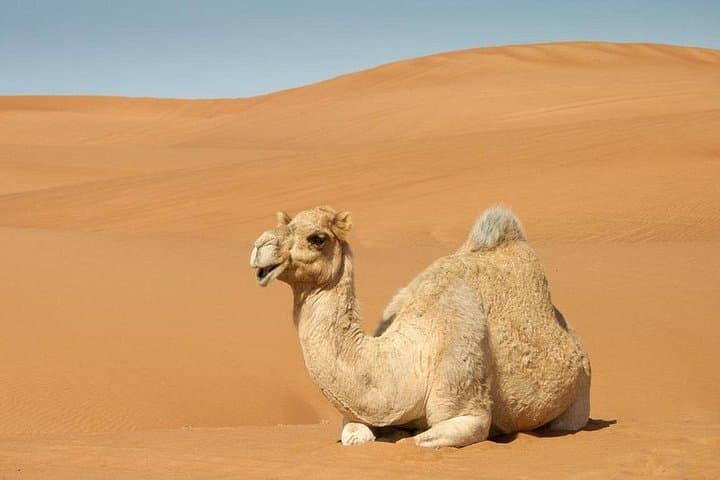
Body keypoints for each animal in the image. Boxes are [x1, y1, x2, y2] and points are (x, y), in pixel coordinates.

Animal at [250, 206, 590, 448]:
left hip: (581, 391)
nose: (259, 246)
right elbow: (354, 435)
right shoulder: (360, 412)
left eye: (317, 238)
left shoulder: (466, 411)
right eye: (287, 223)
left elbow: (422, 440)